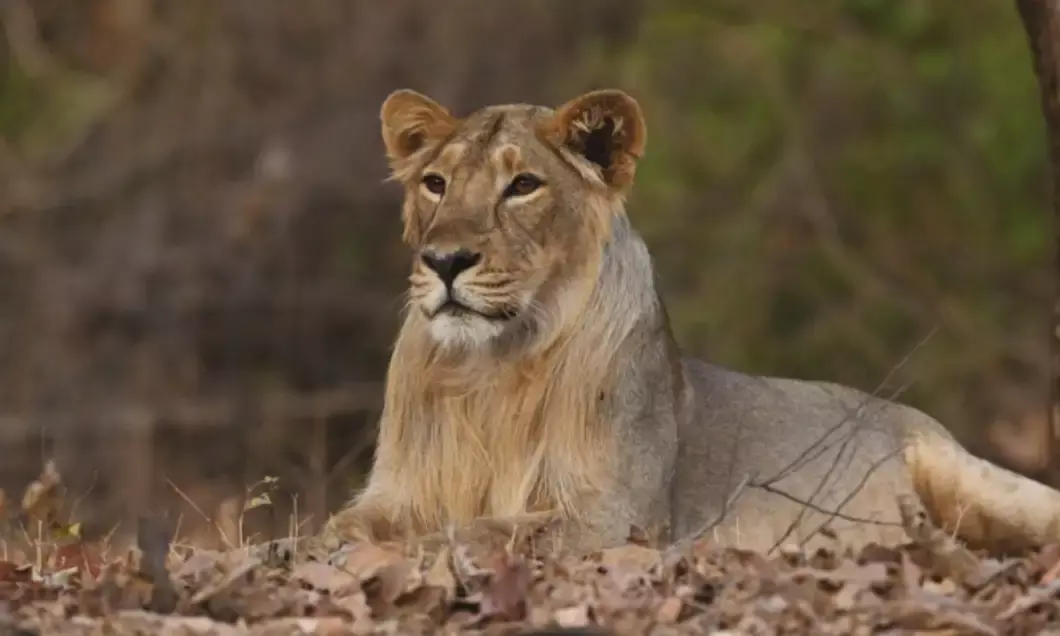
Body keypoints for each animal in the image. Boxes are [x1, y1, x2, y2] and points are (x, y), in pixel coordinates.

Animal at [324, 87, 1060, 556]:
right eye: (436, 184)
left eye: (523, 186)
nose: (444, 261)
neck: (492, 366)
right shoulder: (394, 491)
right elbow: (341, 527)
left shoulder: (616, 516)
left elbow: (483, 531)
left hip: (975, 477)